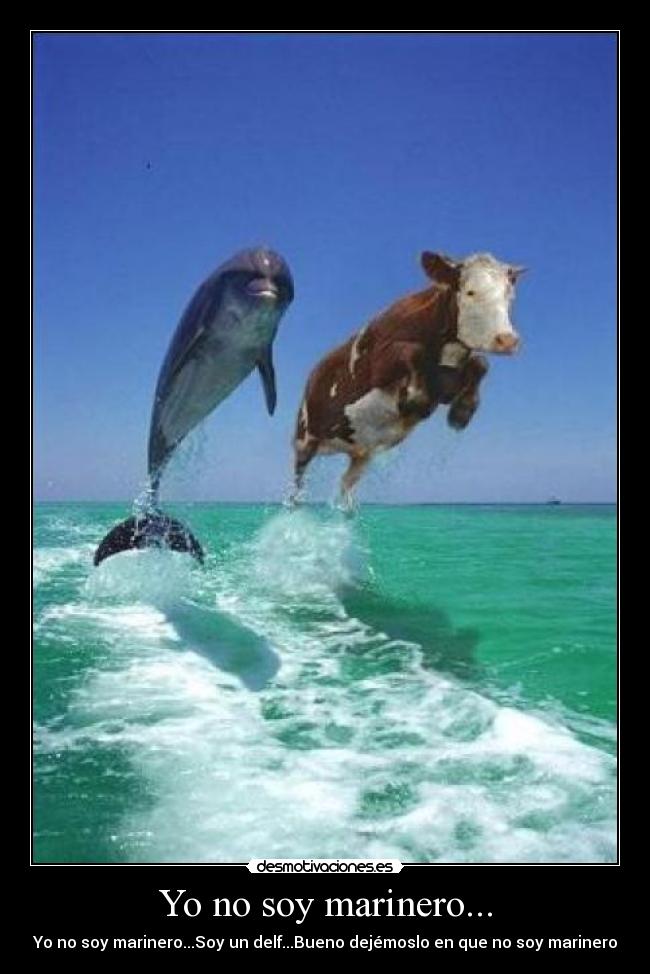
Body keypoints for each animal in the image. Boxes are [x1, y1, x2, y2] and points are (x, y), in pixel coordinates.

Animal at [291, 251, 525, 508]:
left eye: (509, 295)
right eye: (470, 292)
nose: (507, 340)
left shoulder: (445, 385)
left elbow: (481, 363)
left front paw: (462, 412)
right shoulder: (377, 364)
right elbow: (412, 352)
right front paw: (414, 400)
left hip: (361, 453)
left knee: (346, 483)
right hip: (305, 438)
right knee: (297, 482)